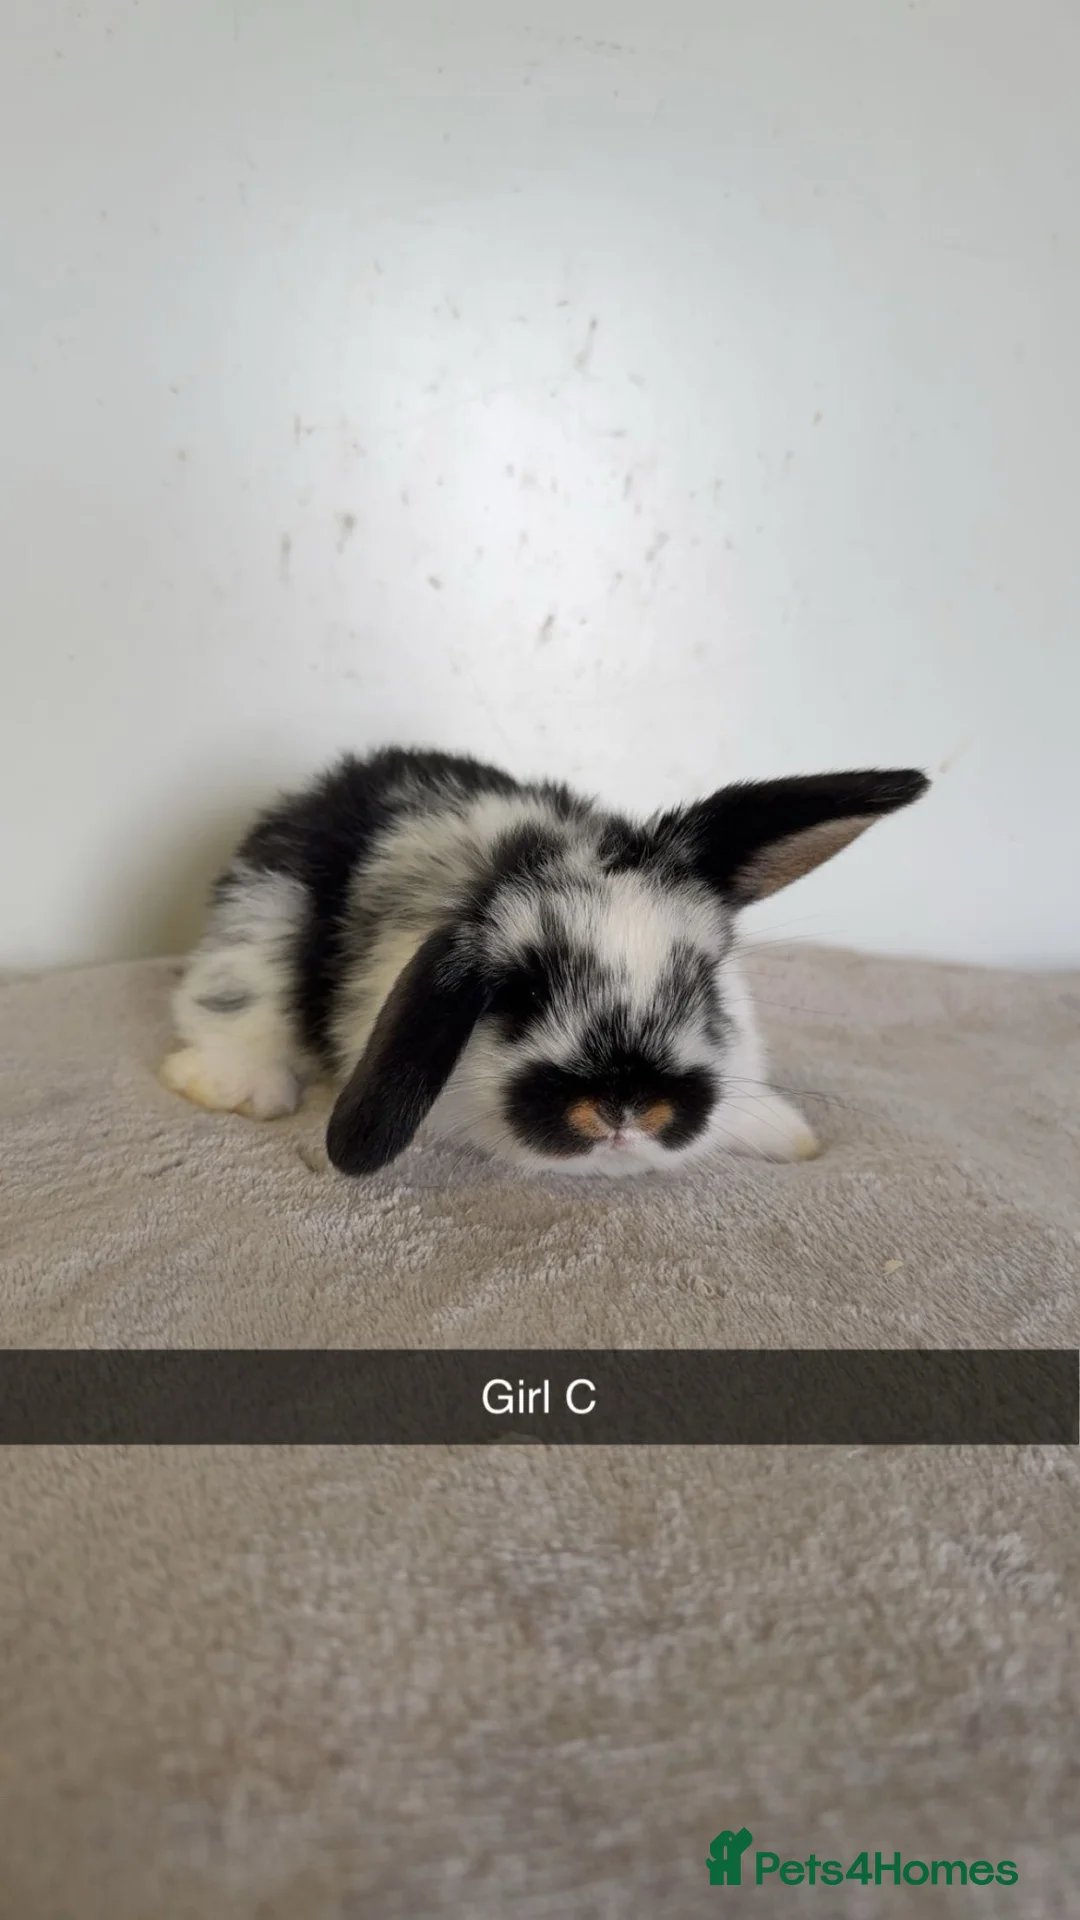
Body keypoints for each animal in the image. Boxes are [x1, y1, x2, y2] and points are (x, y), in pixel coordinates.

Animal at [162, 746, 929, 1177]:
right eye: (519, 996)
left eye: (703, 986)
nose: (627, 1110)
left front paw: (786, 1136)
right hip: (268, 899)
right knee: (237, 984)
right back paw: (238, 1087)